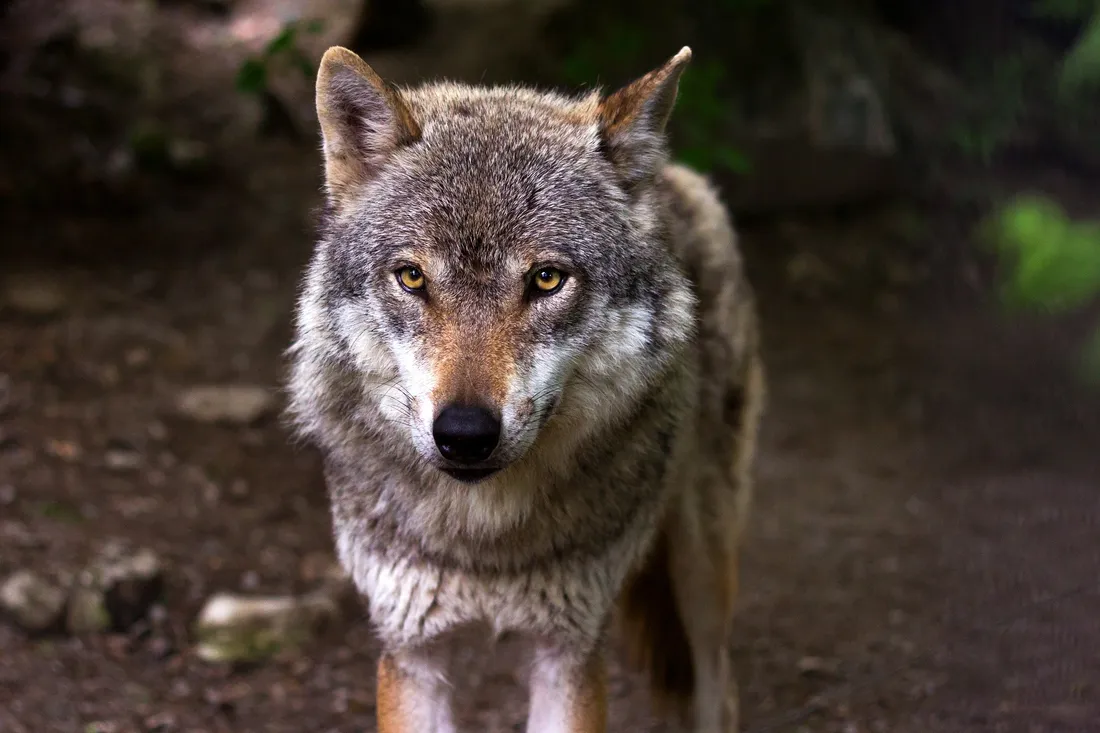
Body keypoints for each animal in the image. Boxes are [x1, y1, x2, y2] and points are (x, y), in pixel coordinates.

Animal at [286, 43, 766, 733]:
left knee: (718, 688)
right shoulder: (411, 652)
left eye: (545, 280)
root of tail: (672, 175)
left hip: (702, 569)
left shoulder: (568, 652)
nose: (464, 434)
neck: (484, 540)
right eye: (412, 277)